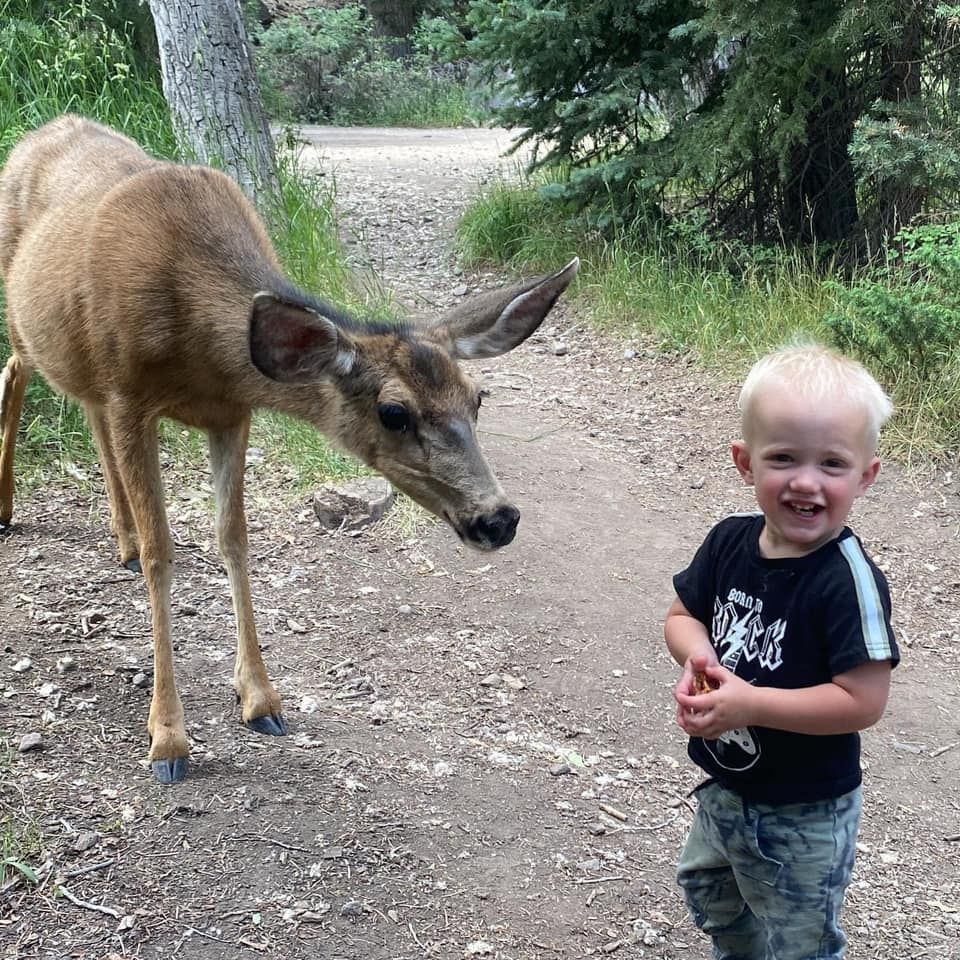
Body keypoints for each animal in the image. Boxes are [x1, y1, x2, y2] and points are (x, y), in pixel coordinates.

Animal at [0, 116, 576, 784]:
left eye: (478, 397)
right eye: (395, 413)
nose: (498, 519)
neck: (200, 345)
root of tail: (41, 132)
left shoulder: (230, 412)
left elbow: (233, 539)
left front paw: (261, 699)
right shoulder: (129, 396)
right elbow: (163, 556)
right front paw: (168, 739)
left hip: (83, 367)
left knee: (85, 413)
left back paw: (119, 537)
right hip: (24, 321)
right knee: (14, 375)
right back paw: (10, 510)